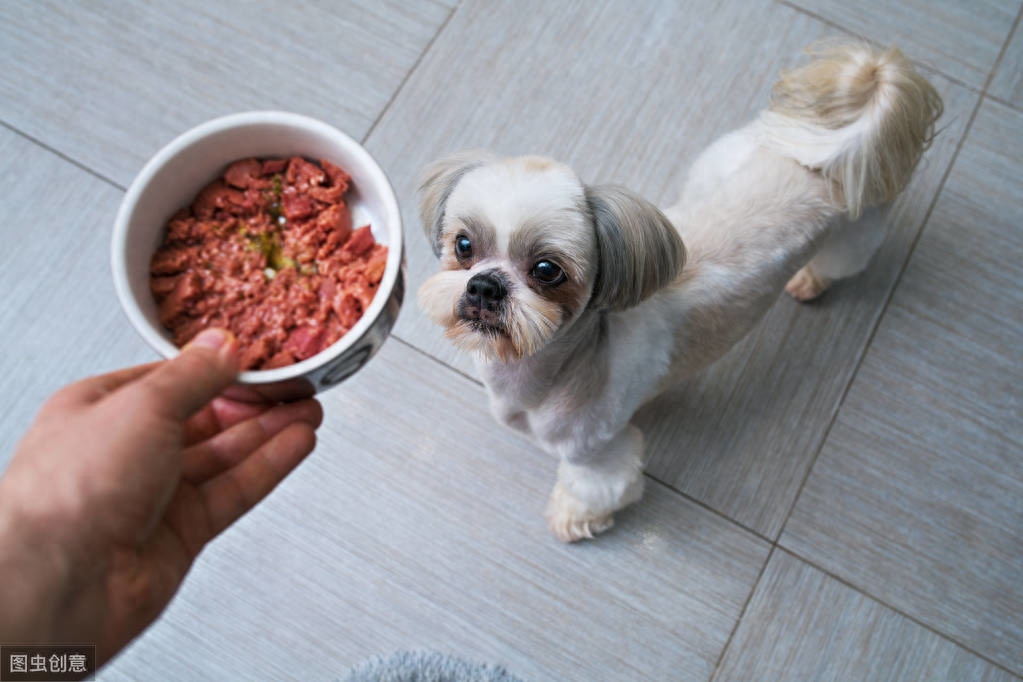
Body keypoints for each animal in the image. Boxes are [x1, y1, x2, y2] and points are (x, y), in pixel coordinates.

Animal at [415, 43, 941, 543]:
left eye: (547, 270)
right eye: (464, 244)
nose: (485, 285)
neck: (557, 367)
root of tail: (838, 148)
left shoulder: (598, 452)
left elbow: (593, 489)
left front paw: (570, 519)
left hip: (855, 234)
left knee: (841, 263)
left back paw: (811, 281)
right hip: (722, 161)